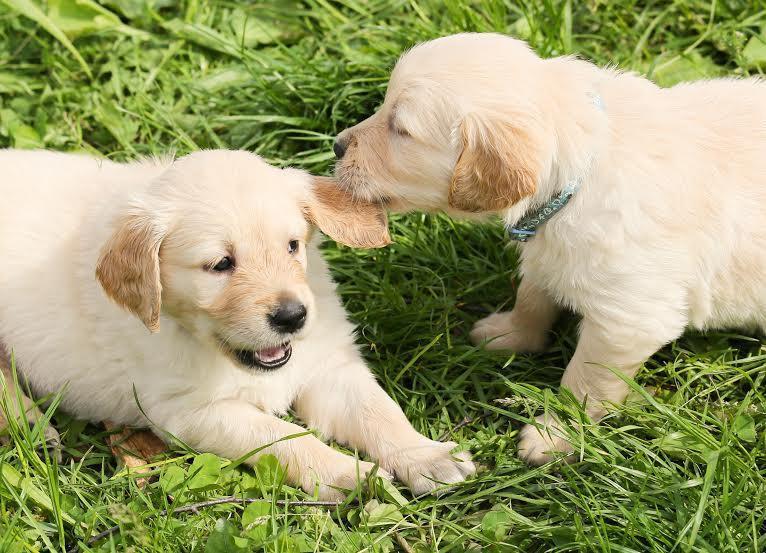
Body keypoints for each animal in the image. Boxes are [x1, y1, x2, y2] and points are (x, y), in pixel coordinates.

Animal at [0, 149, 474, 498]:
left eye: (292, 246)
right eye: (220, 264)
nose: (292, 317)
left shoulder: (328, 366)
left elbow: (379, 412)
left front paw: (426, 456)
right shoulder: (191, 411)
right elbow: (283, 435)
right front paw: (346, 473)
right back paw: (30, 425)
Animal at [332, 32, 766, 464]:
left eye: (400, 129)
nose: (336, 145)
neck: (578, 176)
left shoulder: (628, 320)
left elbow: (584, 383)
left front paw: (556, 435)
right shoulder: (546, 251)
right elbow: (531, 297)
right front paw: (510, 335)